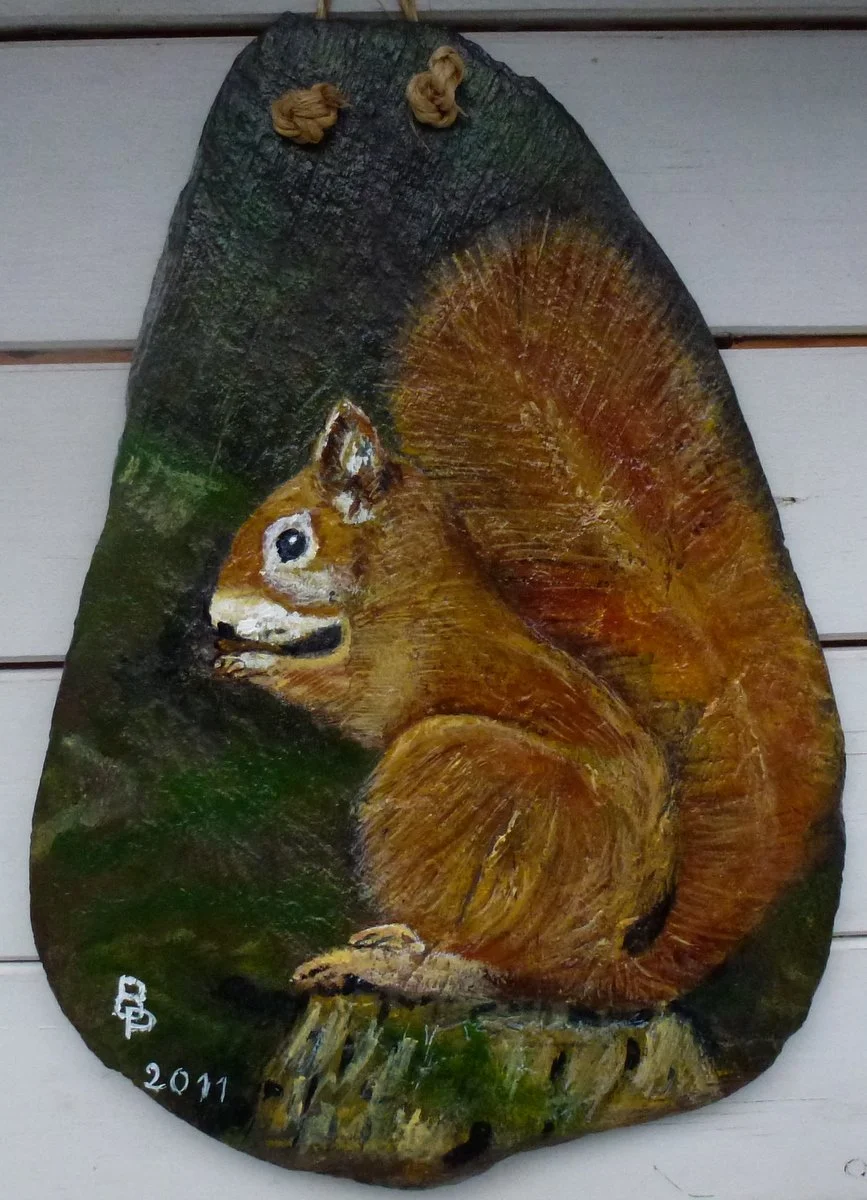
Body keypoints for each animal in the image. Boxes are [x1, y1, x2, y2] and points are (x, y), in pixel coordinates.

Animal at [209, 223, 843, 1012]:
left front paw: (255, 664)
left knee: (496, 972)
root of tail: (594, 959)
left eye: (290, 542)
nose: (216, 615)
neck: (408, 577)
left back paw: (405, 966)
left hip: (456, 778)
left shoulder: (407, 651)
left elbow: (351, 696)